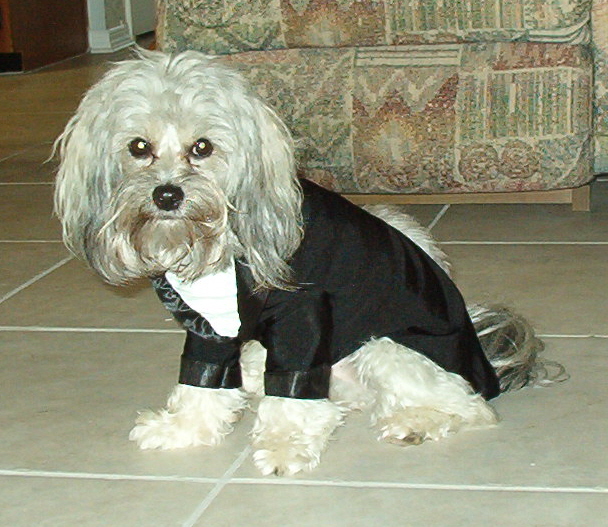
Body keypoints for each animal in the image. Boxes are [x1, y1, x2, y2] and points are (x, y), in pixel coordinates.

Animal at [53, 50, 564, 478]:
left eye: (202, 147)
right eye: (139, 147)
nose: (166, 195)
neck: (221, 245)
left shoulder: (304, 318)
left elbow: (291, 392)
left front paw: (283, 447)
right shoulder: (208, 326)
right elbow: (202, 381)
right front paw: (183, 428)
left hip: (383, 344)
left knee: (470, 407)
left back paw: (415, 422)